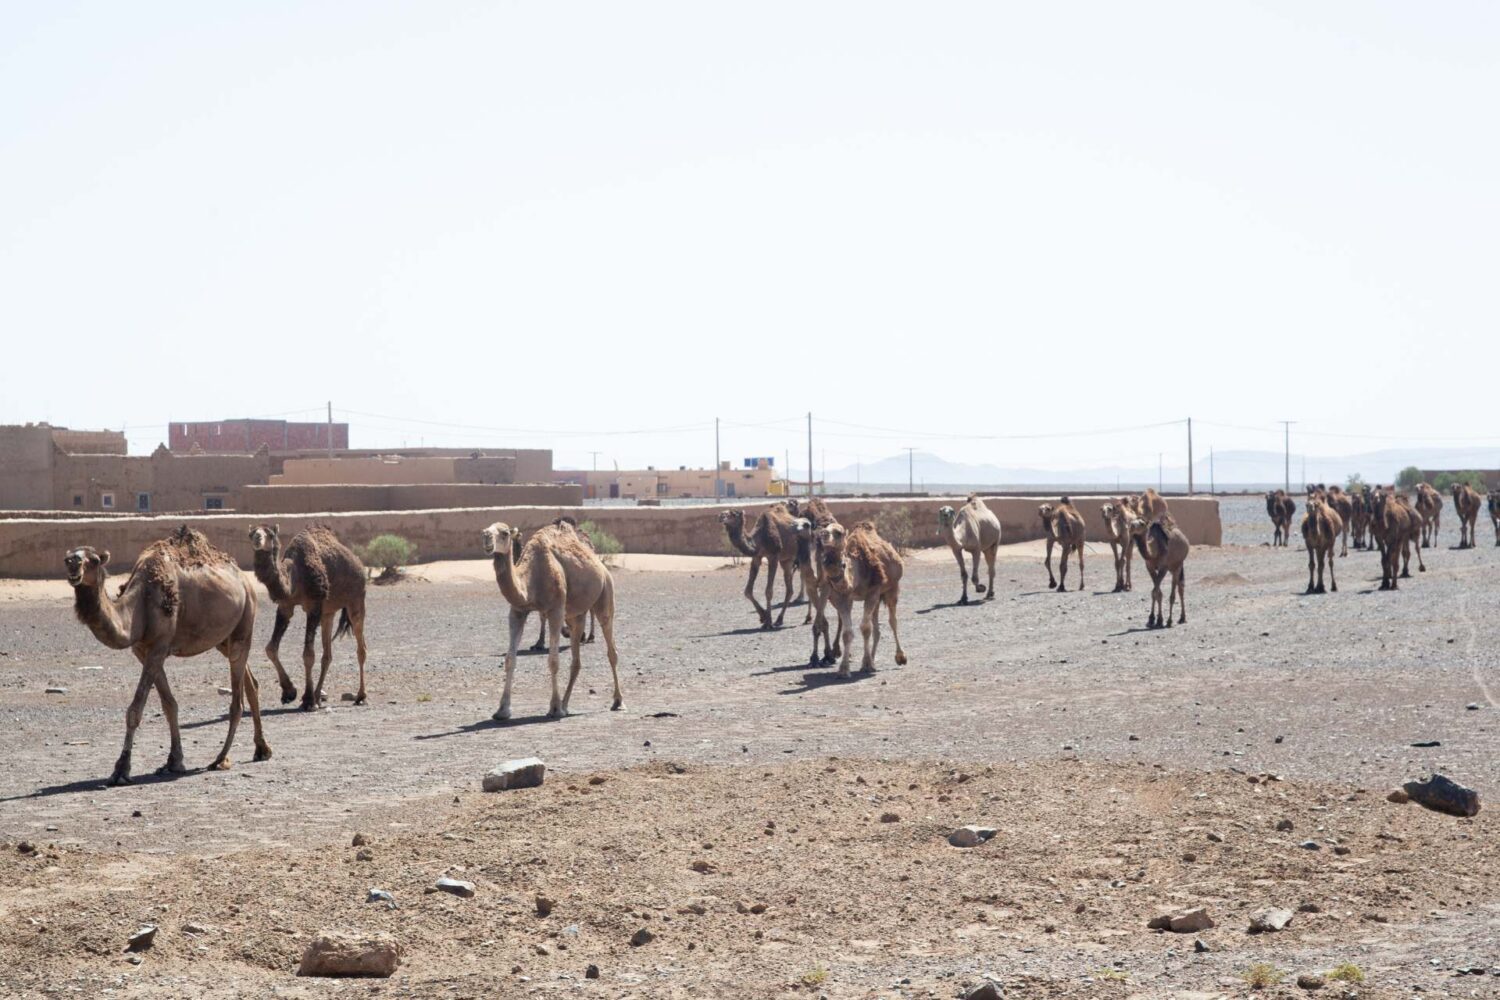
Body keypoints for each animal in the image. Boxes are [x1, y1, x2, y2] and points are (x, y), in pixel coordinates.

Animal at [64, 527, 270, 785]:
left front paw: (121, 769)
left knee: (237, 700)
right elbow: (169, 704)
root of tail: (244, 579)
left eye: (93, 560)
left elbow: (135, 710)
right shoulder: (144, 651)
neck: (138, 607)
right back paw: (262, 749)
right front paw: (174, 761)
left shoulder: (159, 647)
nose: (73, 563)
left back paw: (220, 758)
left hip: (245, 621)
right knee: (251, 683)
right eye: (67, 556)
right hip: (223, 638)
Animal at [249, 524, 369, 710]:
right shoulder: (285, 606)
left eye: (269, 534)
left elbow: (308, 654)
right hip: (328, 612)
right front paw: (289, 692)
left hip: (356, 600)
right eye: (252, 532)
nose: (257, 539)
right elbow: (271, 648)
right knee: (327, 655)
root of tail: (358, 563)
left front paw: (307, 699)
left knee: (361, 648)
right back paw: (318, 696)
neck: (295, 575)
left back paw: (360, 696)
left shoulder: (314, 605)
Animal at [480, 524, 621, 719]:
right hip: (575, 616)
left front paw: (554, 708)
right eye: (484, 531)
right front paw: (502, 710)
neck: (531, 580)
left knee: (611, 649)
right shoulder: (517, 611)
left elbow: (553, 660)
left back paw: (618, 701)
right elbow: (510, 659)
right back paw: (566, 704)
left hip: (605, 594)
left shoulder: (556, 610)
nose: (487, 537)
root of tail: (601, 565)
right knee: (576, 659)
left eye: (505, 533)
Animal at [816, 521, 906, 677]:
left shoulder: (873, 592)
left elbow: (865, 628)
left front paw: (867, 665)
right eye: (824, 529)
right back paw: (872, 658)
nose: (824, 534)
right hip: (875, 598)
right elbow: (847, 633)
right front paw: (844, 669)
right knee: (876, 628)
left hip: (892, 589)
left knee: (892, 621)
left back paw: (899, 657)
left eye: (838, 532)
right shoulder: (842, 598)